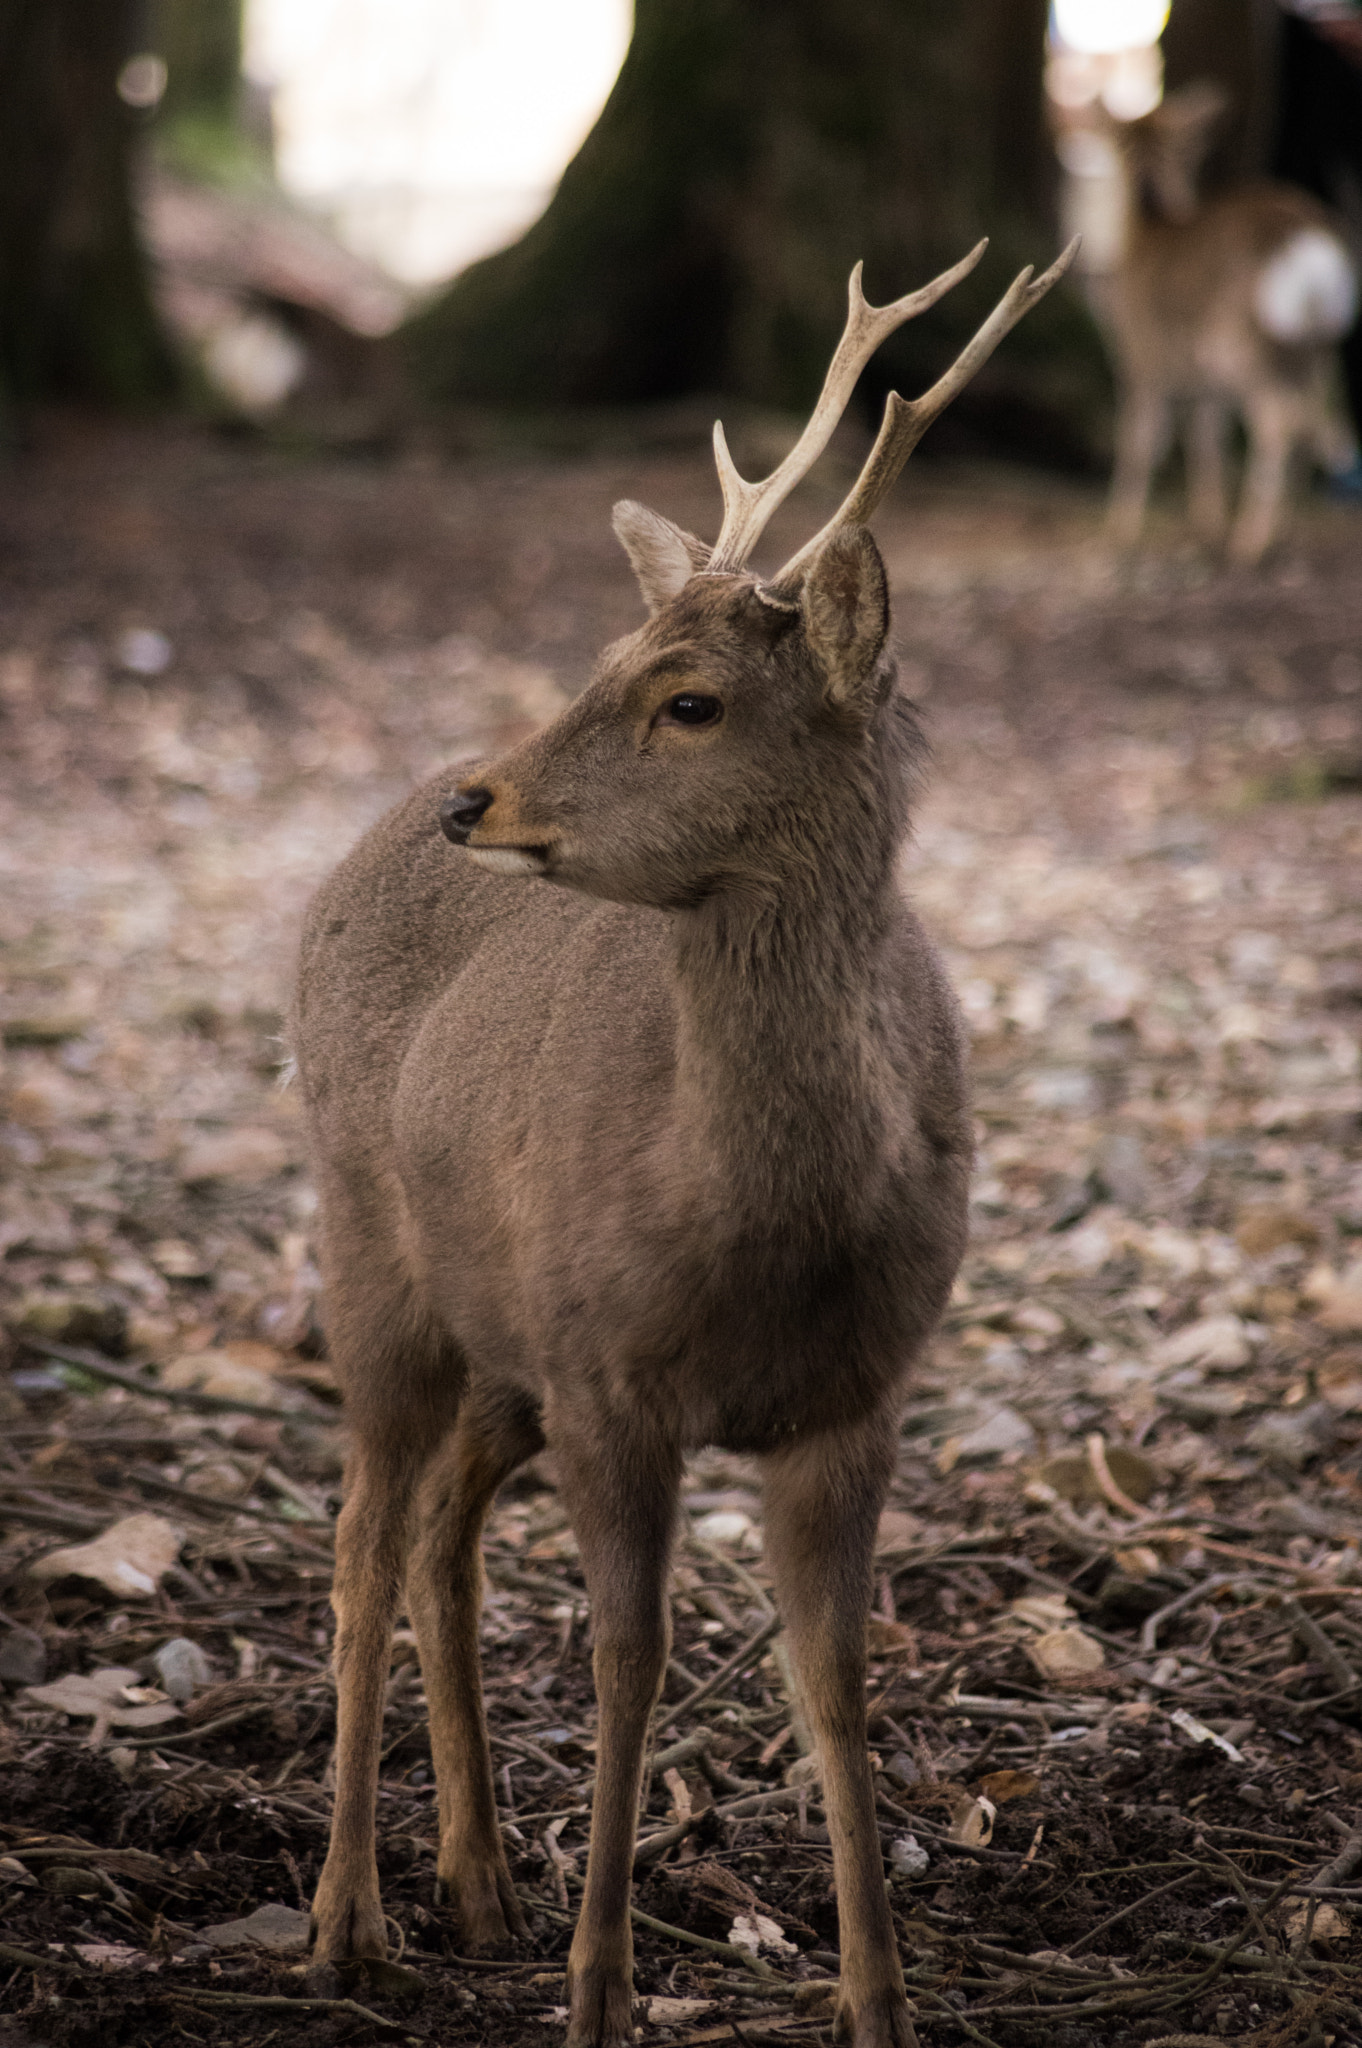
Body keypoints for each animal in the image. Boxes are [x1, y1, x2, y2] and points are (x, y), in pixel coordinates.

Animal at [293, 232, 1075, 2048]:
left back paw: (480, 1884)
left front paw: (877, 2000)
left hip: (502, 1339)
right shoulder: (610, 1379)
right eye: (607, 653)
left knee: (434, 1534)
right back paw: (346, 1919)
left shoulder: (857, 1394)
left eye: (693, 698)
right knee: (359, 1541)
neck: (750, 1232)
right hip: (370, 1246)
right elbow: (626, 1658)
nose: (484, 799)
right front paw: (600, 1992)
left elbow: (836, 1679)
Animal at [1097, 79, 1360, 564]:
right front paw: (1206, 524)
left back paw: (1252, 542)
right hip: (1316, 344)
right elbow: (1205, 439)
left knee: (1282, 421)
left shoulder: (1139, 352)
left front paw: (1120, 530)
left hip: (1240, 343)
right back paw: (1282, 528)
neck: (1146, 228)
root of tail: (1309, 244)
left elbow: (1142, 440)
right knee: (1314, 417)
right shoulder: (1199, 379)